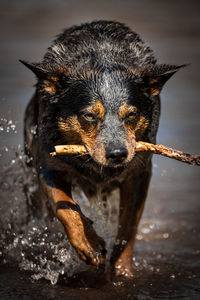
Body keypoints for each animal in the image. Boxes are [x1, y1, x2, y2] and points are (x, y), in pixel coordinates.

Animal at [21, 21, 184, 278]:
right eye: (89, 115)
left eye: (131, 115)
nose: (117, 154)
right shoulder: (48, 163)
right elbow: (65, 208)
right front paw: (89, 244)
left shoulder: (138, 173)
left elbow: (127, 228)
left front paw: (122, 271)